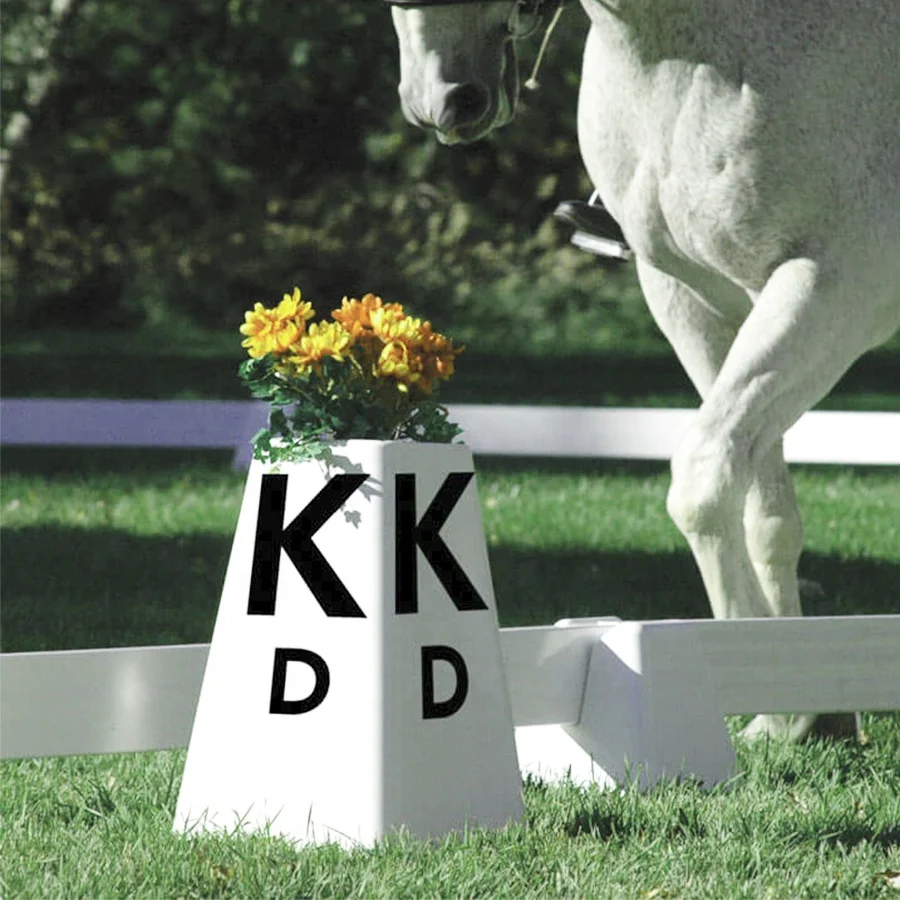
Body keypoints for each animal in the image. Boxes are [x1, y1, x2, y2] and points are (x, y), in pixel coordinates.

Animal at [386, 0, 900, 741]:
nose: (444, 99)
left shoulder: (834, 286)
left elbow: (705, 476)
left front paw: (766, 686)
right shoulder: (694, 299)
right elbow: (762, 505)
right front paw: (798, 711)